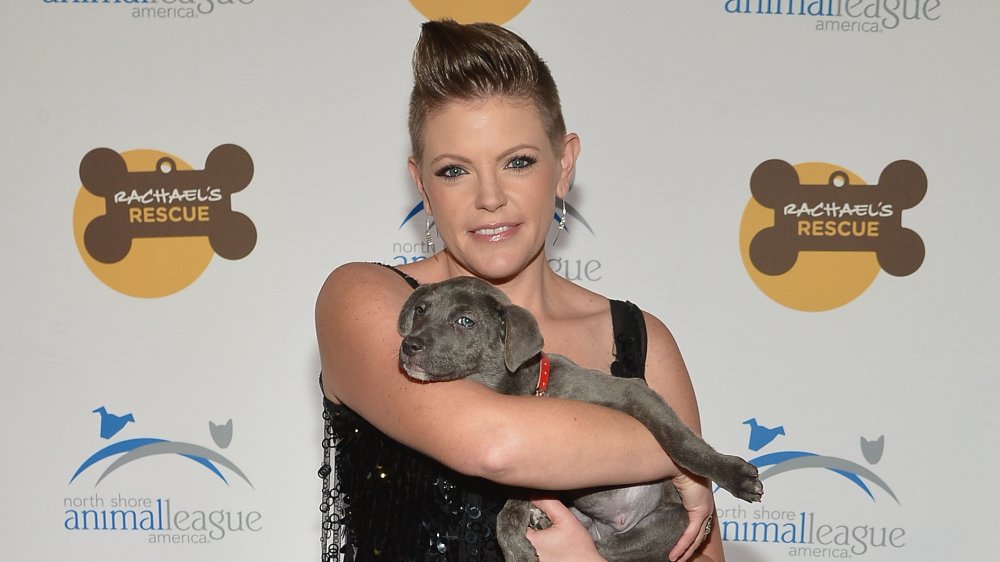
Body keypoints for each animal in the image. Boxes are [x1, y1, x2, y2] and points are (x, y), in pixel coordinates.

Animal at [394, 276, 760, 560]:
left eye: (465, 321)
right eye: (421, 310)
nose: (409, 345)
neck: (531, 391)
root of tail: (612, 526)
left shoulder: (634, 392)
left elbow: (678, 439)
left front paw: (732, 474)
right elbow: (510, 508)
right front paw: (516, 541)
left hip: (669, 526)